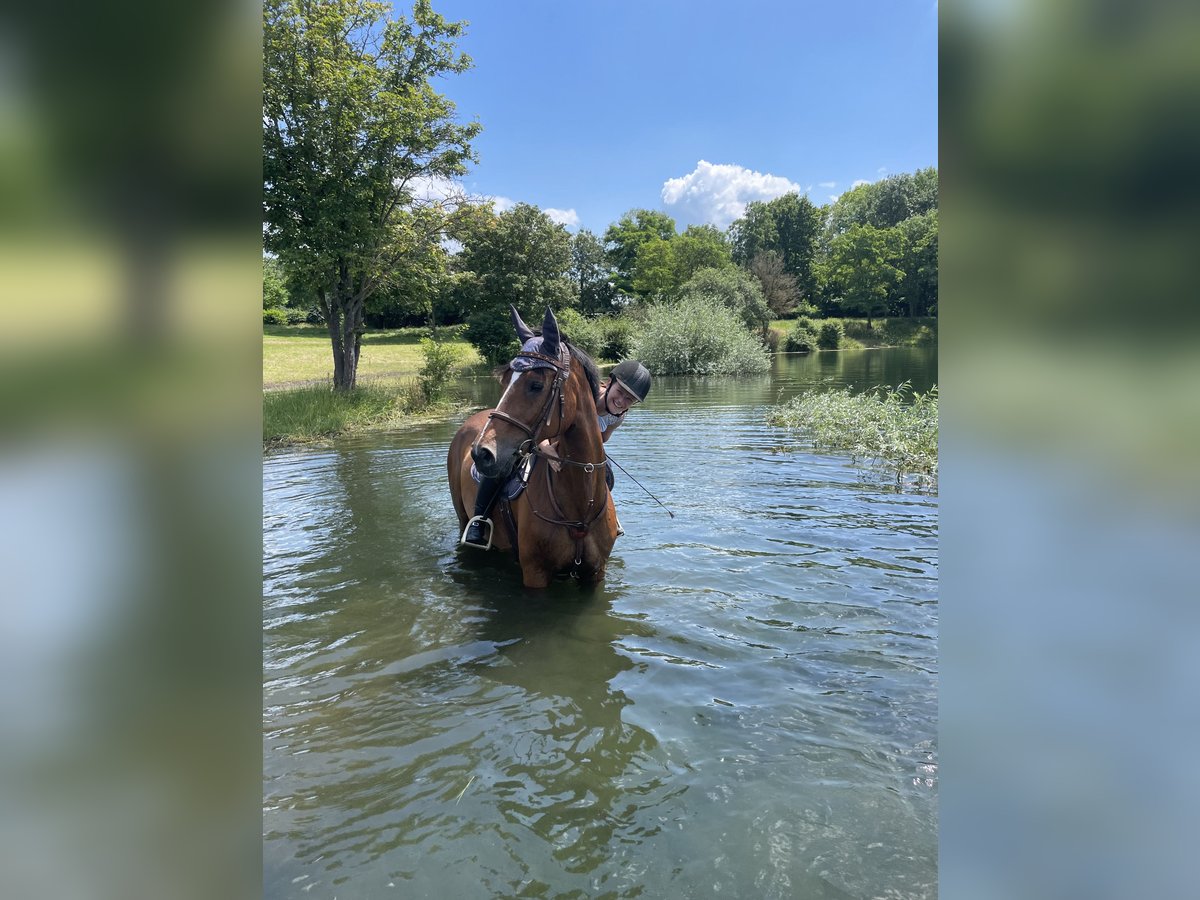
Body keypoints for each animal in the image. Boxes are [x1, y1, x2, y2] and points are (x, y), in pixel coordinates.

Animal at [448, 309, 619, 592]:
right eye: (505, 381)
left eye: (536, 385)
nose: (482, 453)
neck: (579, 508)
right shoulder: (535, 574)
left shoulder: (596, 574)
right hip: (462, 514)